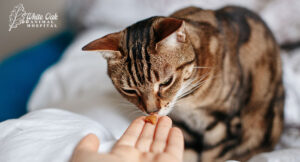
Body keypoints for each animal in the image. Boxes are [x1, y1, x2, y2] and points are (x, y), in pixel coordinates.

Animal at [82, 5, 284, 161]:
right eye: (129, 90)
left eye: (166, 82)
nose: (152, 111)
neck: (188, 102)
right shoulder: (185, 129)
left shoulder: (223, 125)